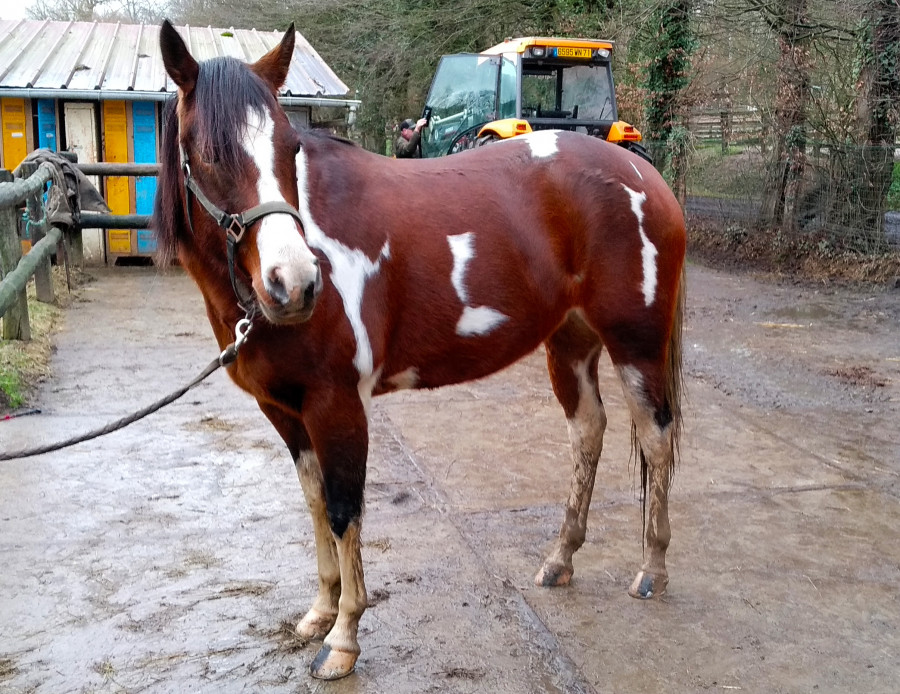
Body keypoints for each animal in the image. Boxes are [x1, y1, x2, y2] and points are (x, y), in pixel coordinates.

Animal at [155, 20, 686, 680]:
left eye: (289, 147)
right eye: (206, 150)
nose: (295, 284)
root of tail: (645, 176)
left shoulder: (336, 404)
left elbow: (343, 510)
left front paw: (343, 639)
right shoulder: (284, 411)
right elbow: (314, 505)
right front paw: (319, 613)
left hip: (636, 344)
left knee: (657, 439)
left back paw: (652, 571)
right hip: (570, 343)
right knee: (589, 432)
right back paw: (560, 560)